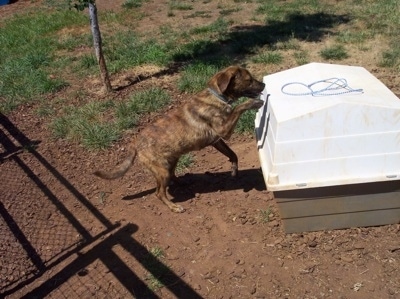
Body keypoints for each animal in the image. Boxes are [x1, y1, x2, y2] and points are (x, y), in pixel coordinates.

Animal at [94, 66, 266, 213]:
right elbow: (238, 108)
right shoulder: (224, 131)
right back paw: (173, 207)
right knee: (159, 192)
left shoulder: (217, 141)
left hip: (171, 162)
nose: (264, 85)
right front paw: (253, 102)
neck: (217, 97)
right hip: (162, 170)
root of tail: (135, 142)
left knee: (171, 177)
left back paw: (183, 182)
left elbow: (233, 154)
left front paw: (234, 170)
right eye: (249, 80)